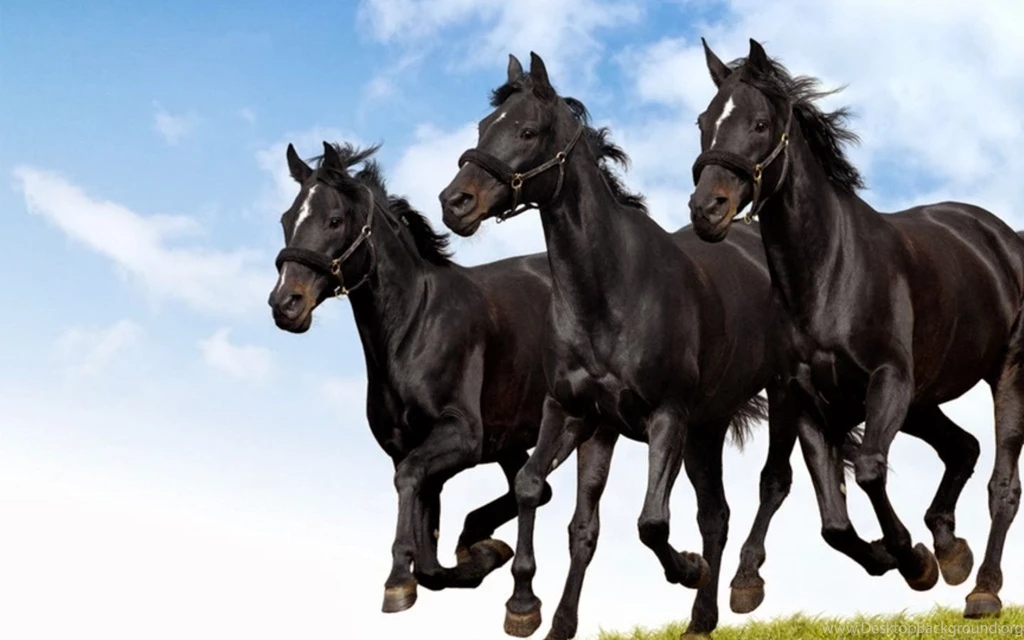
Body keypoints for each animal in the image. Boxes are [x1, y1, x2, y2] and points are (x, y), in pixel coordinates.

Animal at [268, 140, 569, 614]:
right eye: (286, 220)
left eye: (334, 220)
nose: (286, 304)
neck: (415, 325)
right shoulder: (410, 447)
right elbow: (428, 555)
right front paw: (476, 556)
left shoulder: (460, 437)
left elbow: (410, 485)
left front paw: (397, 581)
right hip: (510, 439)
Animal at [439, 51, 793, 640]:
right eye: (484, 126)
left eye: (527, 131)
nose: (455, 202)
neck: (611, 291)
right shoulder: (578, 416)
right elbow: (550, 501)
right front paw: (531, 608)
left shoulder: (665, 418)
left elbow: (651, 522)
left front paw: (686, 568)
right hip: (706, 426)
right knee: (715, 515)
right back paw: (702, 619)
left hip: (783, 396)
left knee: (773, 483)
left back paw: (742, 584)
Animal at [689, 38, 1024, 620]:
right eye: (704, 122)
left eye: (759, 123)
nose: (707, 210)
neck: (830, 273)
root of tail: (1003, 238)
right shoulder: (807, 398)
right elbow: (833, 523)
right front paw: (902, 556)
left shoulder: (887, 380)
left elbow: (868, 469)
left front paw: (912, 559)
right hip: (922, 400)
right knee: (962, 448)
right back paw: (951, 549)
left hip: (1003, 374)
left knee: (1002, 484)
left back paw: (983, 589)